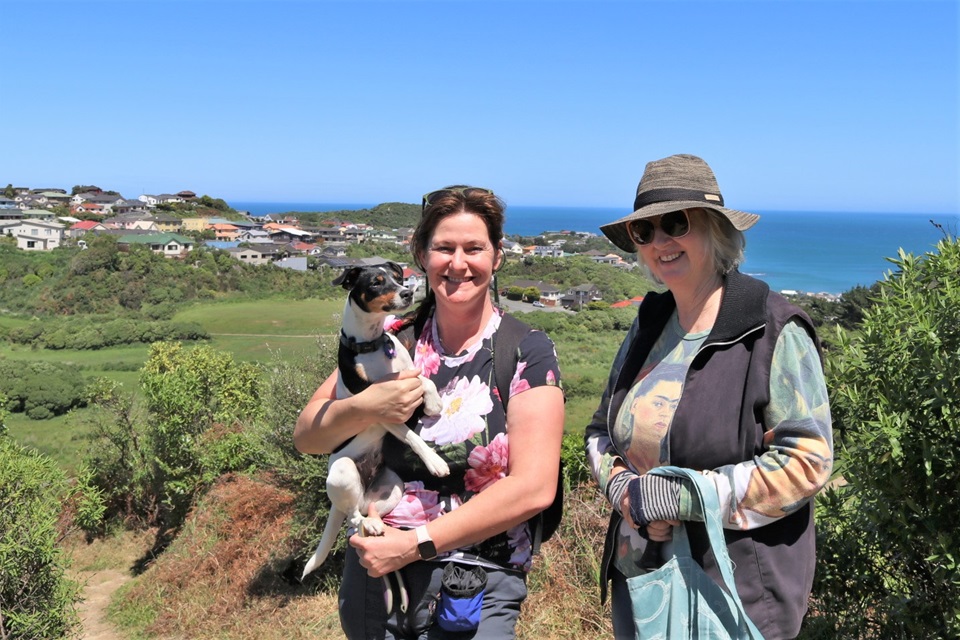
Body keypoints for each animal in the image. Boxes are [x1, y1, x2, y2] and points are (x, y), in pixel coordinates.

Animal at [300, 262, 450, 584]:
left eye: (397, 277)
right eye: (377, 282)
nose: (408, 293)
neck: (372, 344)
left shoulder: (407, 376)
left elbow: (425, 380)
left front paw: (433, 402)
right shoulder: (384, 409)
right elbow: (413, 438)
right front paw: (435, 462)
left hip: (392, 487)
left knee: (364, 513)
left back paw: (376, 525)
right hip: (343, 473)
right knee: (352, 518)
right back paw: (366, 524)